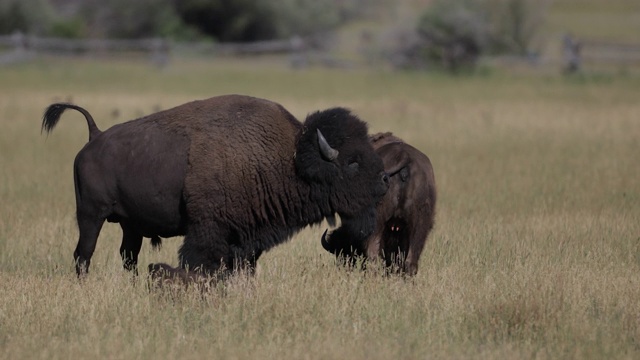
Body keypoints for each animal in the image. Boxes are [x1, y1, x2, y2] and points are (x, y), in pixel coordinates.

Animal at [42, 94, 390, 280]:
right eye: (352, 163)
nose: (385, 181)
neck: (289, 158)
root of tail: (95, 137)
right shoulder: (207, 231)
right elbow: (200, 260)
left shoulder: (248, 239)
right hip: (91, 215)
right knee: (83, 254)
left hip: (131, 226)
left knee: (128, 256)